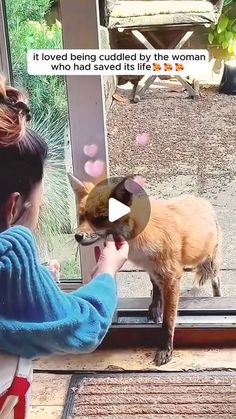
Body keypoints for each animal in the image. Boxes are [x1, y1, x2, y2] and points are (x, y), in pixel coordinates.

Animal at [68, 172, 221, 366]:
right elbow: (155, 288)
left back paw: (218, 297)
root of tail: (202, 200)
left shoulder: (171, 277)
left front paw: (166, 349)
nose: (78, 236)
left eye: (100, 218)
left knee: (216, 280)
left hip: (210, 263)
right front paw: (155, 308)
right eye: (81, 217)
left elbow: (168, 321)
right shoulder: (152, 269)